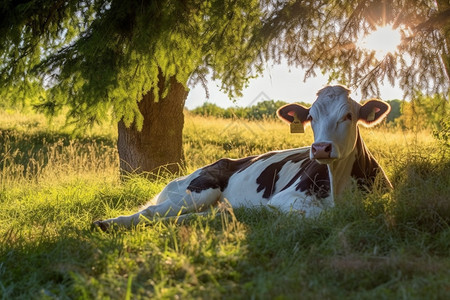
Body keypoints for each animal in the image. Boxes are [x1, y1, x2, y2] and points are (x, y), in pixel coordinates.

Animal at [94, 85, 390, 231]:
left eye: (348, 115)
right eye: (311, 117)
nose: (320, 149)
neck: (340, 186)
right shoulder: (284, 198)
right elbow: (319, 214)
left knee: (191, 216)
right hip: (198, 190)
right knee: (151, 211)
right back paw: (107, 223)